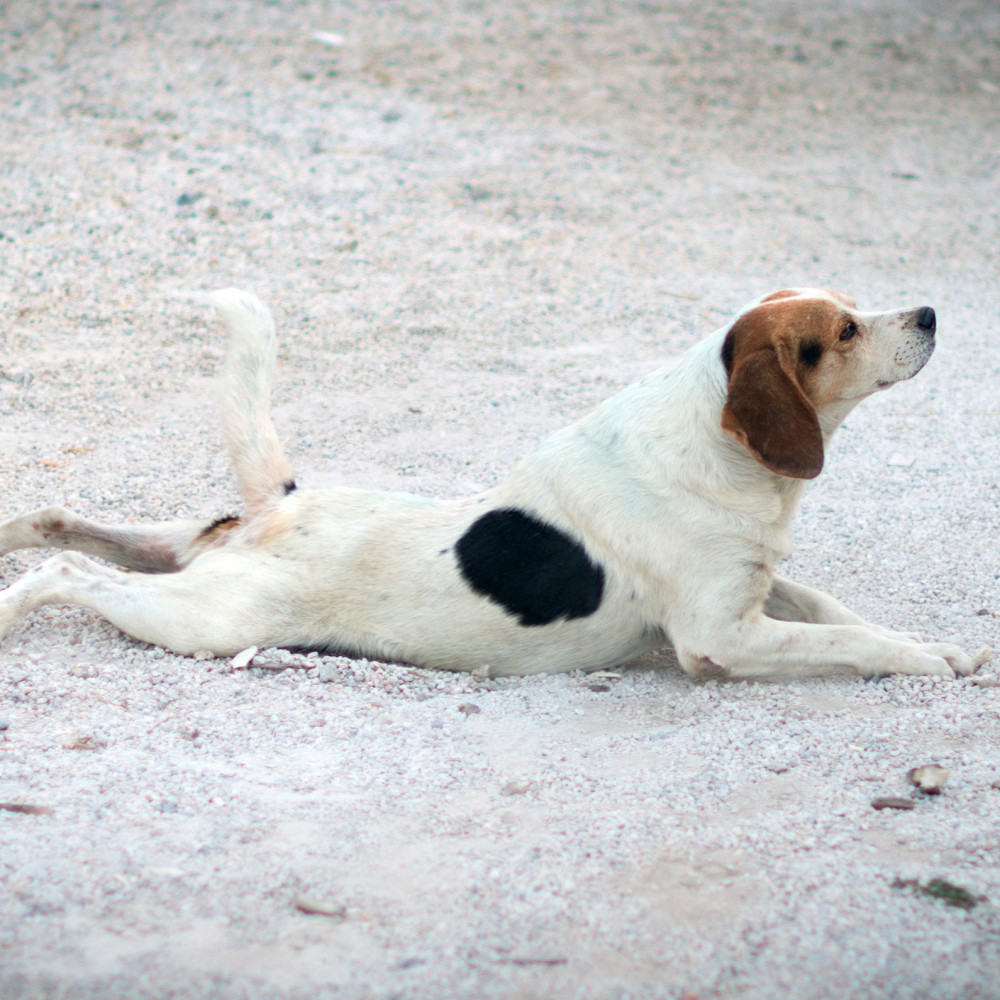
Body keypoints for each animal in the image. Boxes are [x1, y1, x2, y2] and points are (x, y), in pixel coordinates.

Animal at [0, 290, 988, 680]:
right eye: (846, 330)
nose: (932, 313)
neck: (718, 444)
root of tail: (281, 505)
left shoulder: (758, 584)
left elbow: (834, 609)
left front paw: (941, 644)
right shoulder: (722, 638)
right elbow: (849, 640)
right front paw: (927, 660)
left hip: (182, 551)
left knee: (64, 521)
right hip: (208, 619)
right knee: (69, 575)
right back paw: (14, 606)